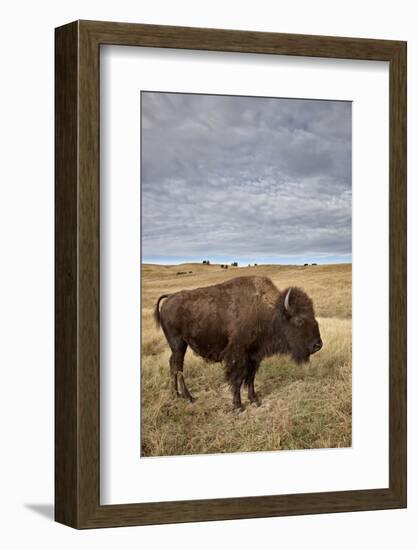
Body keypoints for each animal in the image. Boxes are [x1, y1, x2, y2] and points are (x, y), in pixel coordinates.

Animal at [154, 278, 322, 412]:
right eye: (299, 320)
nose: (318, 345)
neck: (267, 311)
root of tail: (169, 298)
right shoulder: (238, 355)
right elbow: (238, 378)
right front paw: (238, 406)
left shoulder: (254, 355)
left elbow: (251, 377)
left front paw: (255, 400)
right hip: (178, 344)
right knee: (178, 366)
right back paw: (189, 397)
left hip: (178, 346)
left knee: (173, 365)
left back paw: (176, 395)